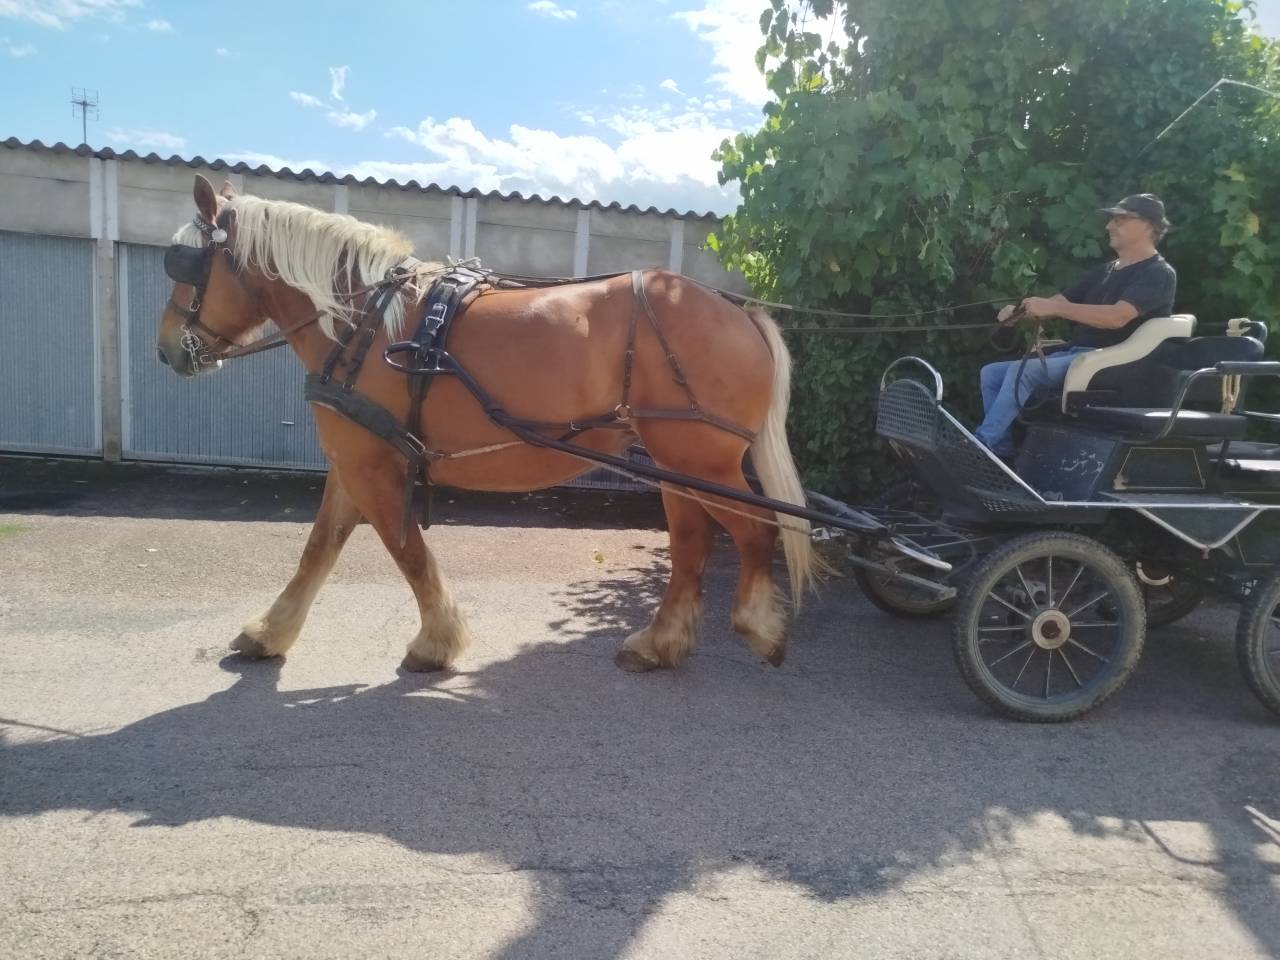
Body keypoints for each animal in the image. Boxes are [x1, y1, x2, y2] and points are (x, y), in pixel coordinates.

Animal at [155, 174, 818, 674]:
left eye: (186, 264)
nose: (165, 350)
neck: (364, 323)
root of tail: (740, 311)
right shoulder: (352, 459)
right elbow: (319, 549)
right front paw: (271, 632)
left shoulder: (370, 465)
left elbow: (407, 550)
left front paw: (436, 641)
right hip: (674, 461)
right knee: (691, 543)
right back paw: (659, 643)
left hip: (700, 459)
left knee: (756, 533)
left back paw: (757, 627)